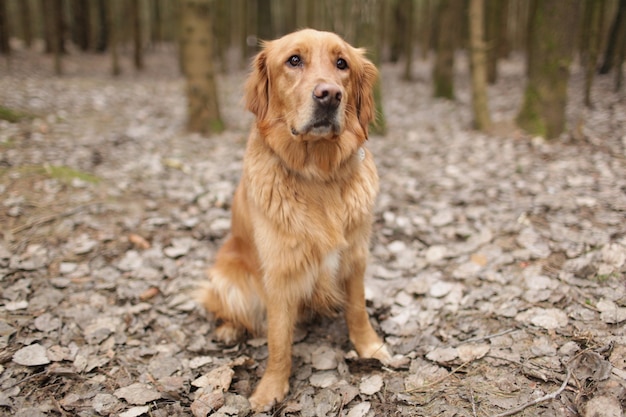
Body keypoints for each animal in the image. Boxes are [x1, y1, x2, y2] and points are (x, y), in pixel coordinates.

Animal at [197, 28, 388, 410]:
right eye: (294, 60)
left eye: (342, 64)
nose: (330, 95)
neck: (317, 174)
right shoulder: (281, 272)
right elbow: (278, 340)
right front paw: (271, 388)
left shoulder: (356, 256)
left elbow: (357, 310)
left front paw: (370, 347)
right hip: (229, 275)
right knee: (228, 307)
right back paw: (228, 328)